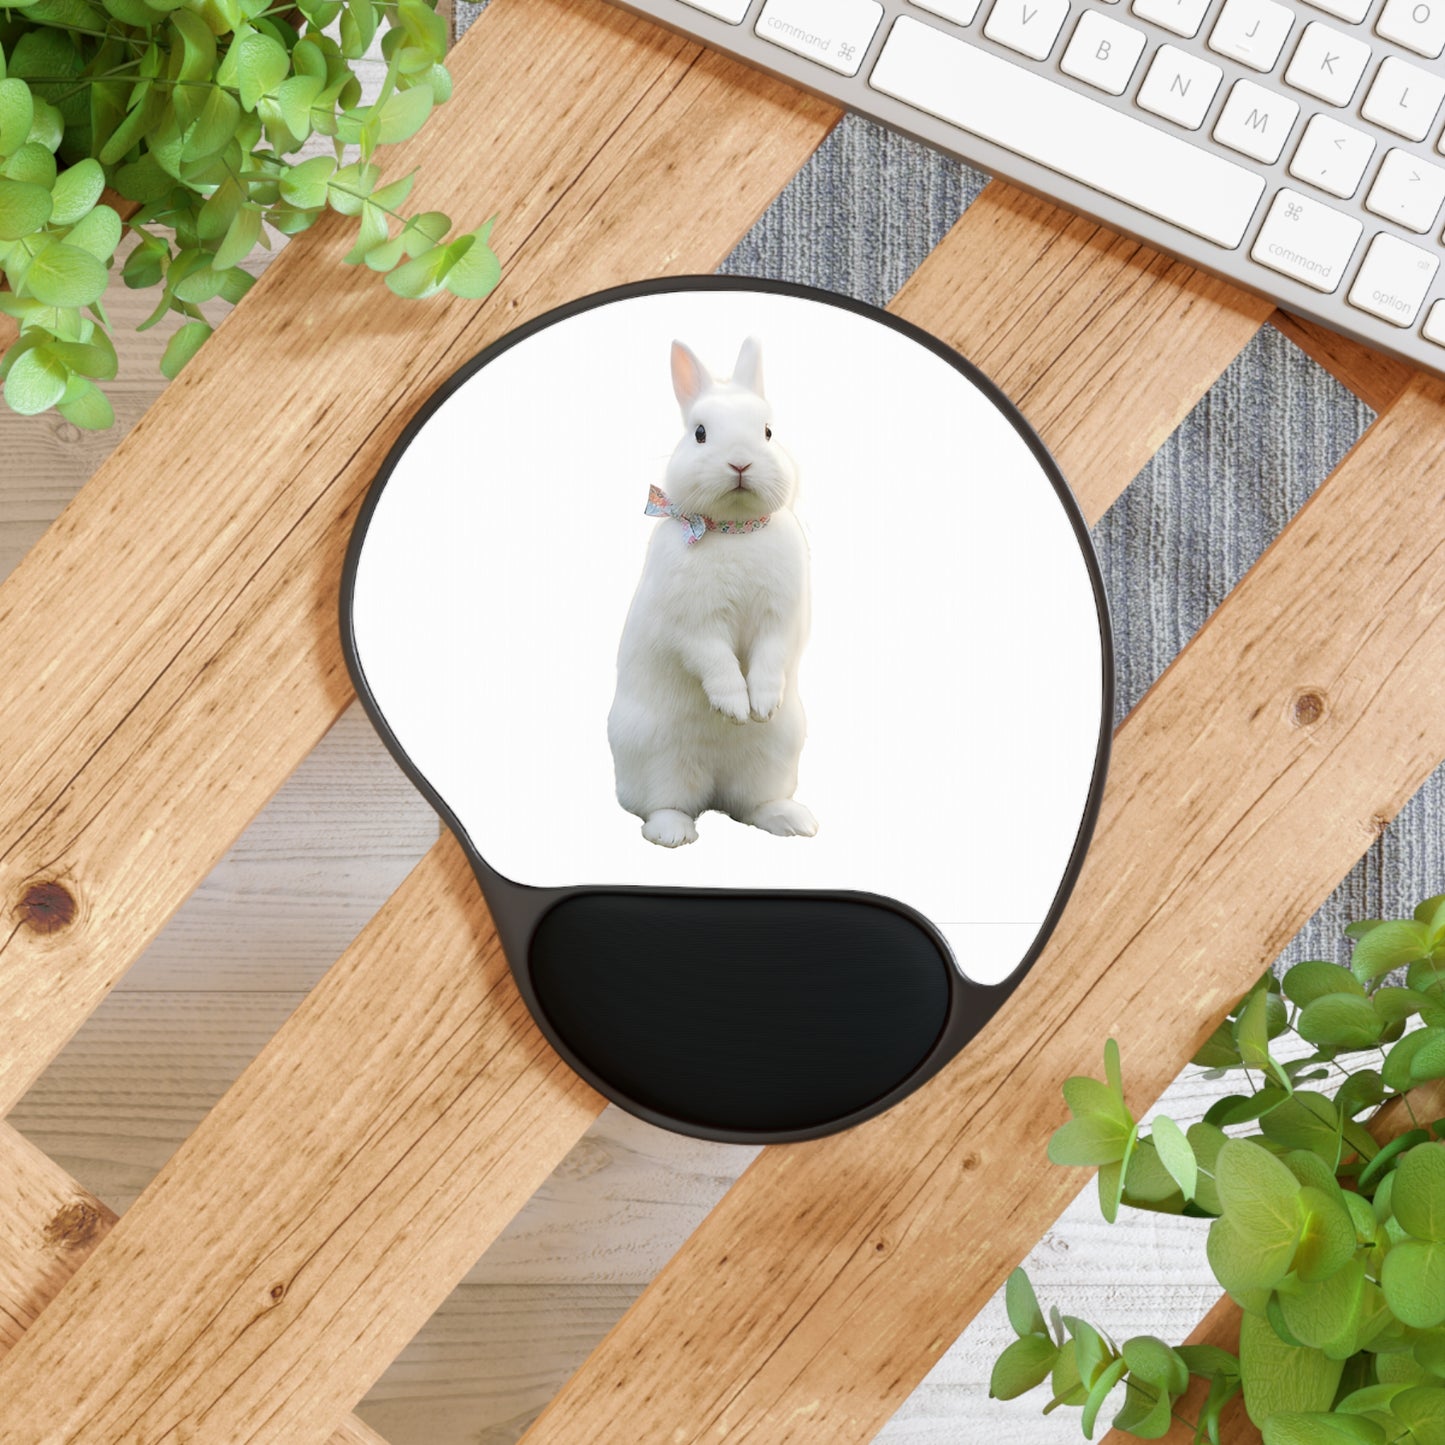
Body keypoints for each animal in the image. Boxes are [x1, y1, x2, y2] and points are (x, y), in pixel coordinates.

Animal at [608, 336, 817, 848]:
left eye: (767, 431)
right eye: (700, 433)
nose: (740, 462)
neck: (734, 530)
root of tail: (714, 789)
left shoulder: (783, 621)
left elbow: (769, 658)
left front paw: (761, 706)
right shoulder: (694, 627)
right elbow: (717, 664)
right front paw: (735, 708)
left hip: (775, 758)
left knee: (751, 806)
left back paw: (794, 821)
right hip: (655, 760)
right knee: (660, 805)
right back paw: (673, 833)